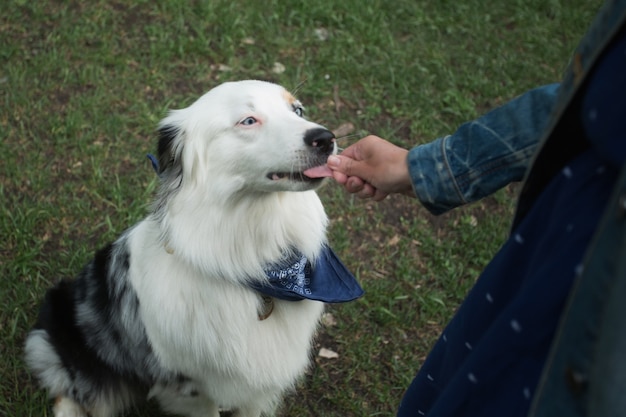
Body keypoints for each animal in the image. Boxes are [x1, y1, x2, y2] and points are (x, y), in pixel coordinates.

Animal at [24, 79, 364, 416]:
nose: (325, 138)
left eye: (298, 110)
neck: (256, 266)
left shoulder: (256, 389)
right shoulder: (189, 388)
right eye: (248, 120)